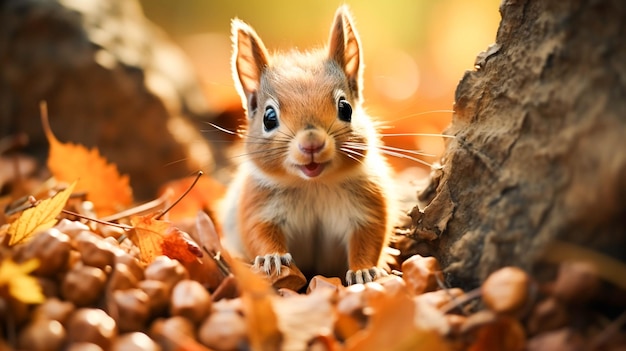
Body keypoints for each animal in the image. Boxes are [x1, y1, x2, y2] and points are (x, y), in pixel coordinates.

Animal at [219, 5, 394, 286]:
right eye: (269, 118)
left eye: (346, 108)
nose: (312, 144)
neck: (313, 185)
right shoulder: (258, 206)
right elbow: (258, 233)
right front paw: (273, 257)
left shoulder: (368, 207)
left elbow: (369, 238)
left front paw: (363, 270)